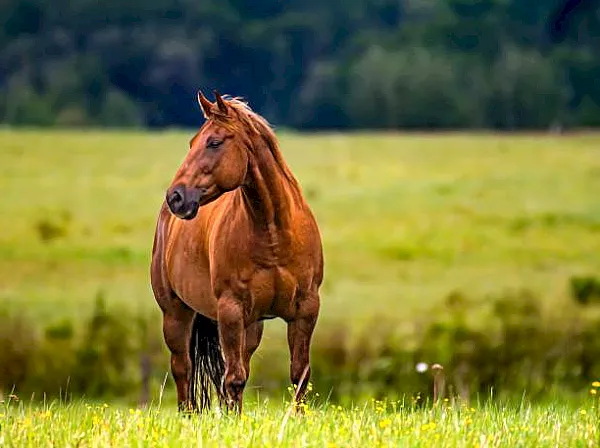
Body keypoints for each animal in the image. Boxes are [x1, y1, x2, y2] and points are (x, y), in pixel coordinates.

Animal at [152, 91, 326, 416]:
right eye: (192, 142)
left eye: (214, 142)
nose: (176, 197)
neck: (273, 234)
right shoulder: (230, 310)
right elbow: (233, 379)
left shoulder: (306, 309)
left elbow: (300, 375)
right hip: (176, 314)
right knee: (183, 368)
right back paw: (187, 416)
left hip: (252, 326)